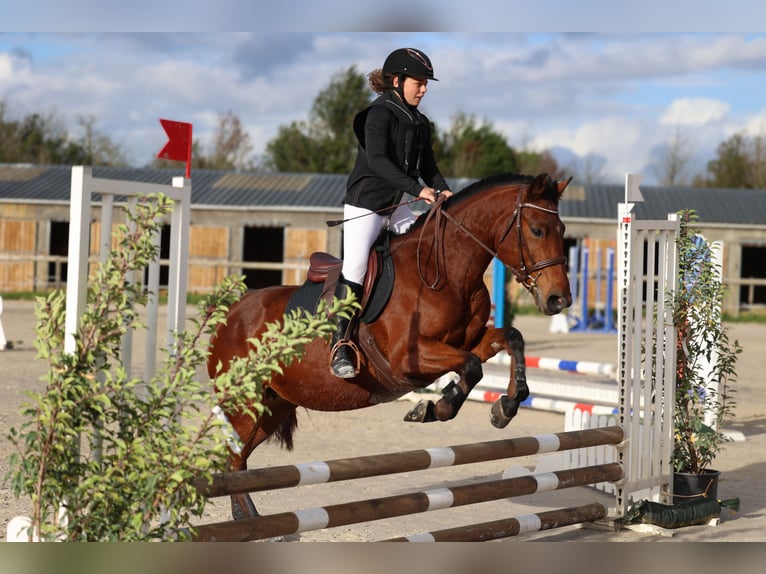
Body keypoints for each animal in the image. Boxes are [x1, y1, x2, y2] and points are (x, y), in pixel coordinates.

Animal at [207, 173, 572, 520]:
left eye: (563, 230)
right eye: (537, 230)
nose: (559, 300)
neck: (446, 270)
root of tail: (230, 313)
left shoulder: (468, 341)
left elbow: (510, 338)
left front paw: (505, 407)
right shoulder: (407, 359)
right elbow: (471, 366)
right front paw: (435, 408)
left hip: (274, 405)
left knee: (239, 460)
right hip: (245, 405)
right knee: (233, 459)